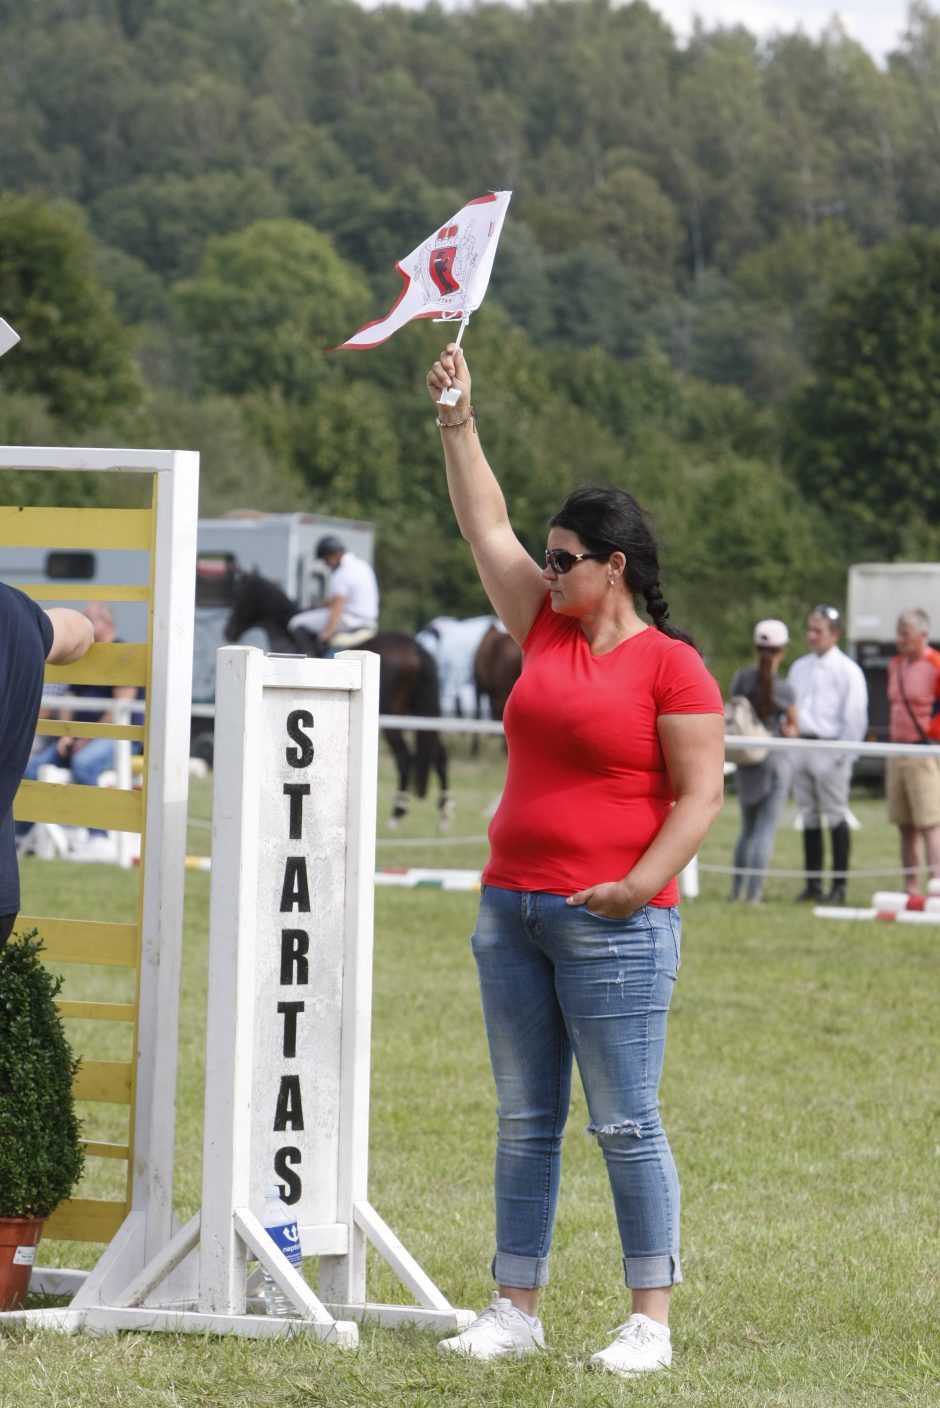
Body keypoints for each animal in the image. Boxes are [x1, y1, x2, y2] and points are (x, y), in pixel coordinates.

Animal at [223, 571, 450, 827]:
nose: (228, 631)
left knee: (405, 757)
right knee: (439, 754)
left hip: (393, 714)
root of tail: (415, 647)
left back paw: (397, 813)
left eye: (240, 597)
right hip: (419, 712)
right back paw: (443, 814)